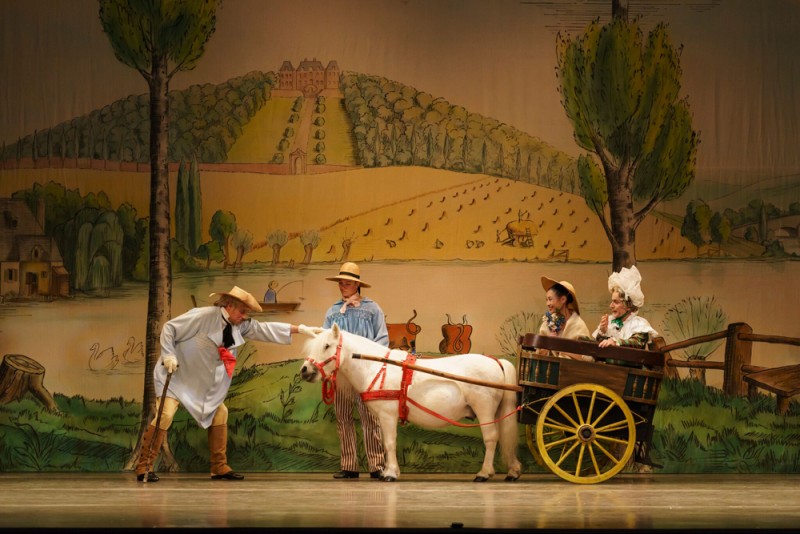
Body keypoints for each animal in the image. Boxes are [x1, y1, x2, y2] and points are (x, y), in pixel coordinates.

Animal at [296, 324, 520, 484]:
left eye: (326, 346)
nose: (305, 370)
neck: (377, 366)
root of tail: (496, 361)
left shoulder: (388, 415)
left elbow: (389, 443)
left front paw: (390, 473)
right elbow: (385, 443)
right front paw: (387, 470)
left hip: (484, 409)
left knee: (491, 438)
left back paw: (484, 473)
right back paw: (512, 471)